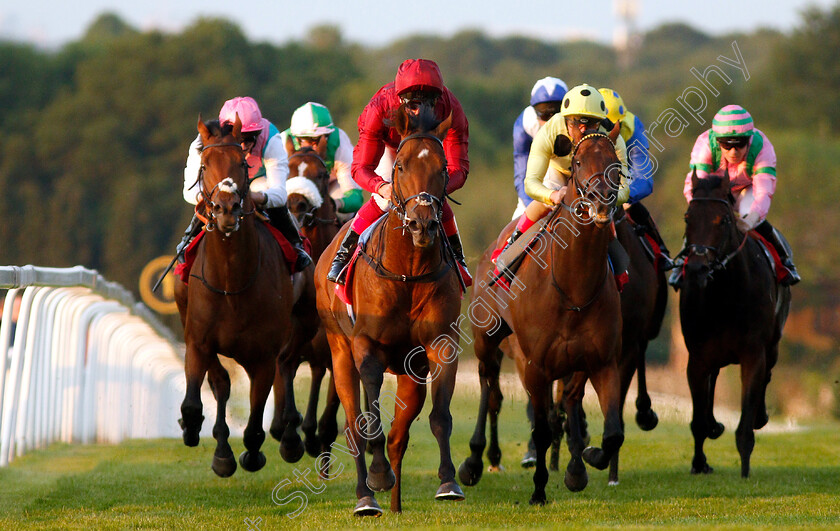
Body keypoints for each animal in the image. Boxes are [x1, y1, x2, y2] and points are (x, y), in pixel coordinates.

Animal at [174, 117, 318, 478]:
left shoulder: (263, 355)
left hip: (305, 323)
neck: (232, 283)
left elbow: (254, 424)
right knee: (225, 383)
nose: (226, 208)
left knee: (288, 363)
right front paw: (198, 433)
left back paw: (290, 437)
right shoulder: (197, 341)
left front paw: (252, 454)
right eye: (204, 164)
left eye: (241, 163)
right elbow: (202, 396)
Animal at [316, 103, 462, 516]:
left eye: (443, 167)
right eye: (399, 166)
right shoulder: (366, 346)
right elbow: (369, 422)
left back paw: (395, 504)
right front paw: (378, 476)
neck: (408, 271)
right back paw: (366, 496)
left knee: (400, 434)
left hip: (410, 371)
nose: (423, 223)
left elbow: (439, 417)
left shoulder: (441, 344)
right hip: (339, 351)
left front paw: (448, 482)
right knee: (353, 425)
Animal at [456, 131, 628, 504]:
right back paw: (474, 461)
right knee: (488, 389)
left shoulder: (602, 362)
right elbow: (541, 428)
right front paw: (538, 490)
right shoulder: (534, 364)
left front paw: (585, 461)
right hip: (486, 341)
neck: (573, 287)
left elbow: (612, 433)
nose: (602, 205)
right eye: (578, 162)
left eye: (616, 163)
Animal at [680, 171, 792, 478]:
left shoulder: (753, 354)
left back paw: (760, 416)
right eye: (688, 218)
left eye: (723, 220)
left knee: (768, 374)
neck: (725, 295)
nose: (696, 269)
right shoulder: (697, 357)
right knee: (714, 380)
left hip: (773, 344)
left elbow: (745, 423)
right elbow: (697, 421)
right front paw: (698, 463)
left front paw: (744, 469)